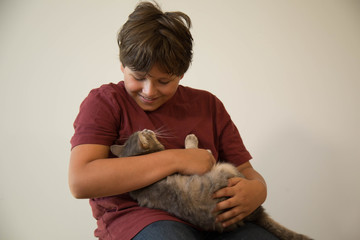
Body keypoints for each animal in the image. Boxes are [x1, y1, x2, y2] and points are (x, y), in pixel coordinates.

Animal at [110, 129, 312, 240]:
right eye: (145, 133)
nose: (147, 128)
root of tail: (255, 214)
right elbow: (193, 149)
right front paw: (197, 145)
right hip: (226, 168)